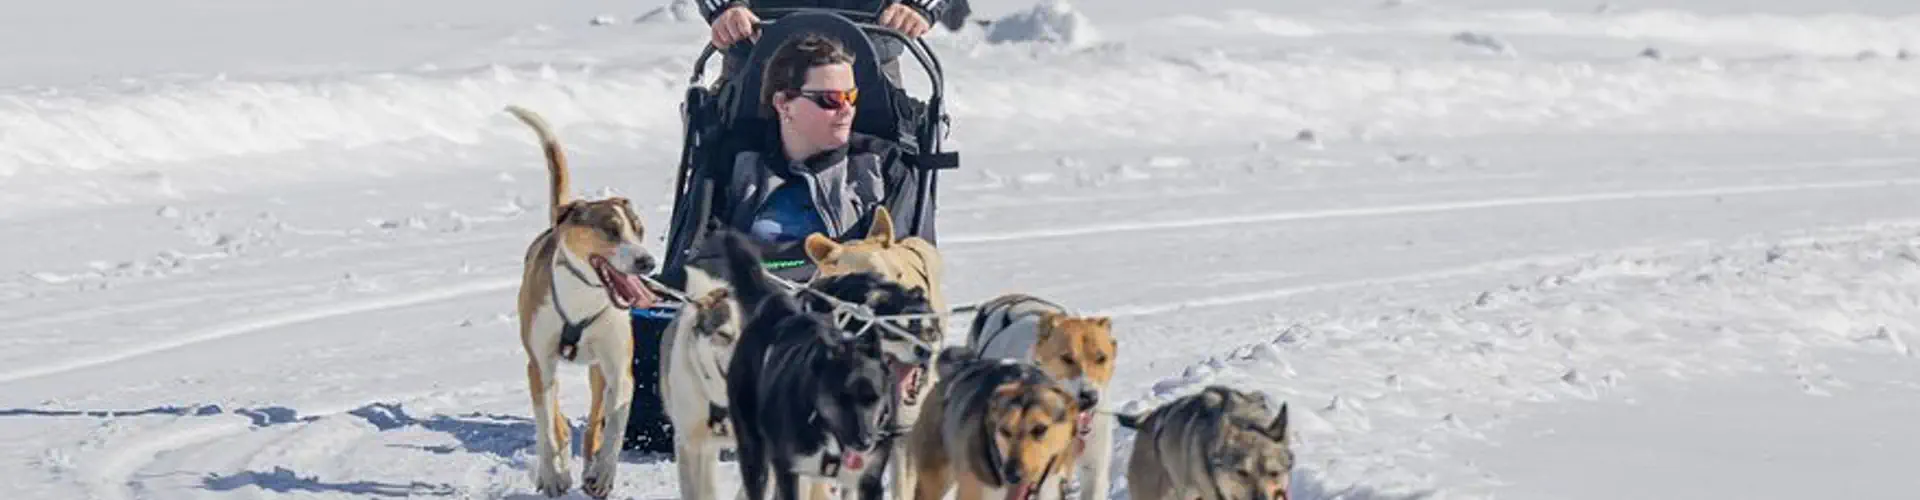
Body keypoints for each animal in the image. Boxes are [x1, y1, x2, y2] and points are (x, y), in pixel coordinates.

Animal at [506, 106, 664, 500]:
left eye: (638, 230)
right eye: (611, 229)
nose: (647, 262)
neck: (583, 299)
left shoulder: (619, 370)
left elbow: (615, 429)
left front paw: (603, 474)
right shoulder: (540, 364)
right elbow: (546, 427)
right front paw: (552, 476)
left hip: (597, 371)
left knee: (594, 422)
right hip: (542, 368)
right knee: (557, 419)